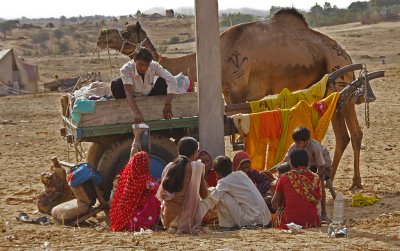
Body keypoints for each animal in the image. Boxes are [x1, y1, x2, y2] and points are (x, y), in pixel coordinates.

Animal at [97, 7, 366, 189]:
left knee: (355, 133)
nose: (101, 36)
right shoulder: (229, 94)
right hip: (329, 88)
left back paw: (355, 182)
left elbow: (242, 139)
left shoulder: (241, 90)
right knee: (342, 134)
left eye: (125, 31)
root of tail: (345, 54)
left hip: (340, 74)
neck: (222, 52)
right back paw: (330, 177)